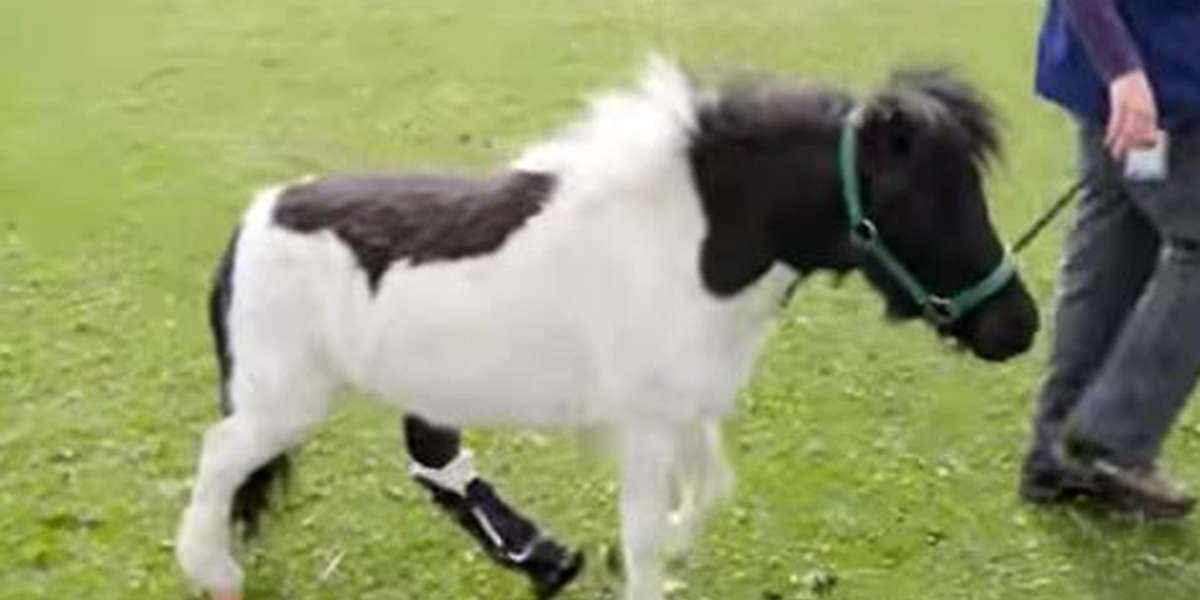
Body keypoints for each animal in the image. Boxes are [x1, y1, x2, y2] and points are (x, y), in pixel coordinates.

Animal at [175, 57, 1038, 600]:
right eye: (919, 198)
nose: (1019, 327)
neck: (688, 249)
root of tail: (253, 218)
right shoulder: (648, 425)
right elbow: (652, 533)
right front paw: (637, 564)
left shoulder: (678, 411)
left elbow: (704, 494)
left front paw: (624, 560)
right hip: (285, 402)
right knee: (220, 459)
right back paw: (213, 573)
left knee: (428, 463)